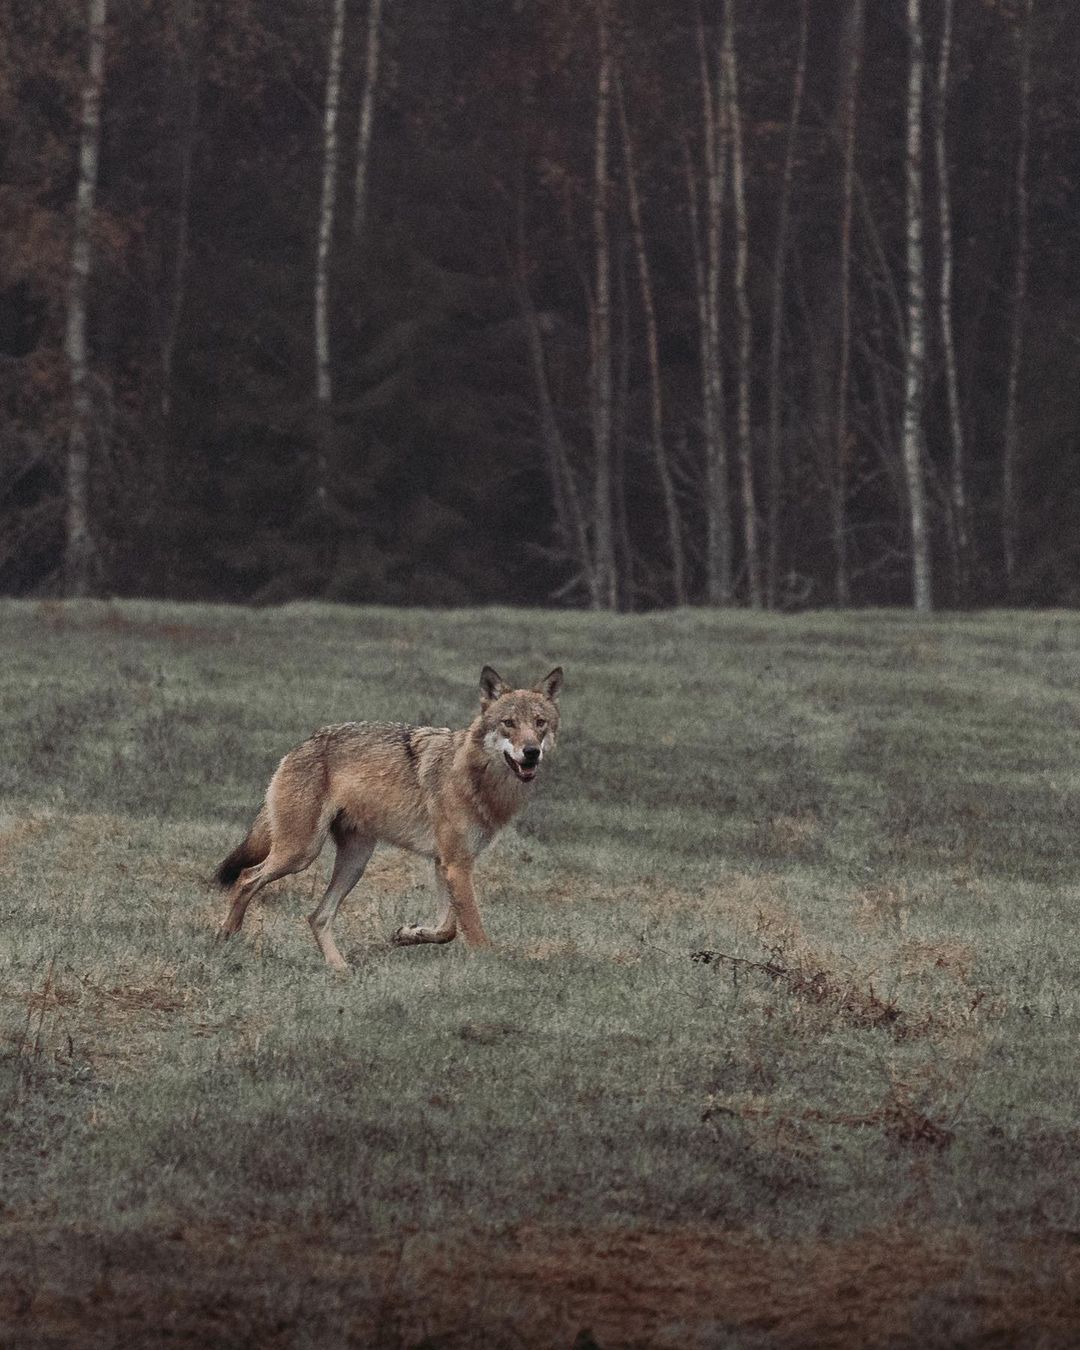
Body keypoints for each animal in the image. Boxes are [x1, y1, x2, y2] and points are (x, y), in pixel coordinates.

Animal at [213, 666, 564, 972]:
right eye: (508, 723)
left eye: (540, 723)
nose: (531, 752)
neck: (474, 777)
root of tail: (300, 746)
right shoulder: (456, 864)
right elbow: (474, 930)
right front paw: (494, 968)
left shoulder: (447, 863)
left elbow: (447, 928)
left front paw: (408, 934)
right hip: (301, 853)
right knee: (246, 878)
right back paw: (225, 936)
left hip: (354, 862)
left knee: (317, 916)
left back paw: (340, 968)